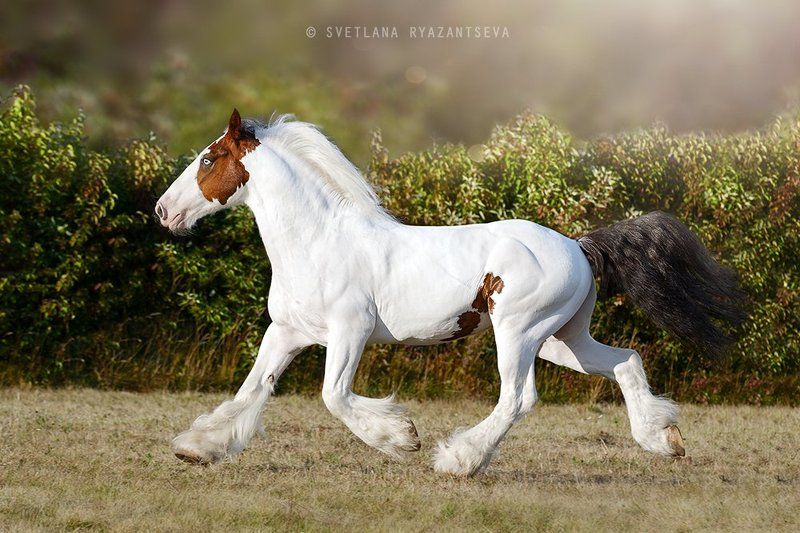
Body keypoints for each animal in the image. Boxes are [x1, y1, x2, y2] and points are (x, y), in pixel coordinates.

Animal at [155, 109, 745, 476]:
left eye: (208, 159)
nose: (163, 211)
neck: (318, 242)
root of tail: (578, 246)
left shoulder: (349, 332)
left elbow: (334, 396)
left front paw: (403, 437)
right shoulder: (287, 333)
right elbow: (251, 391)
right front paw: (195, 449)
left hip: (518, 332)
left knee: (517, 399)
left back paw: (458, 461)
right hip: (562, 339)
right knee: (625, 360)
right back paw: (663, 441)